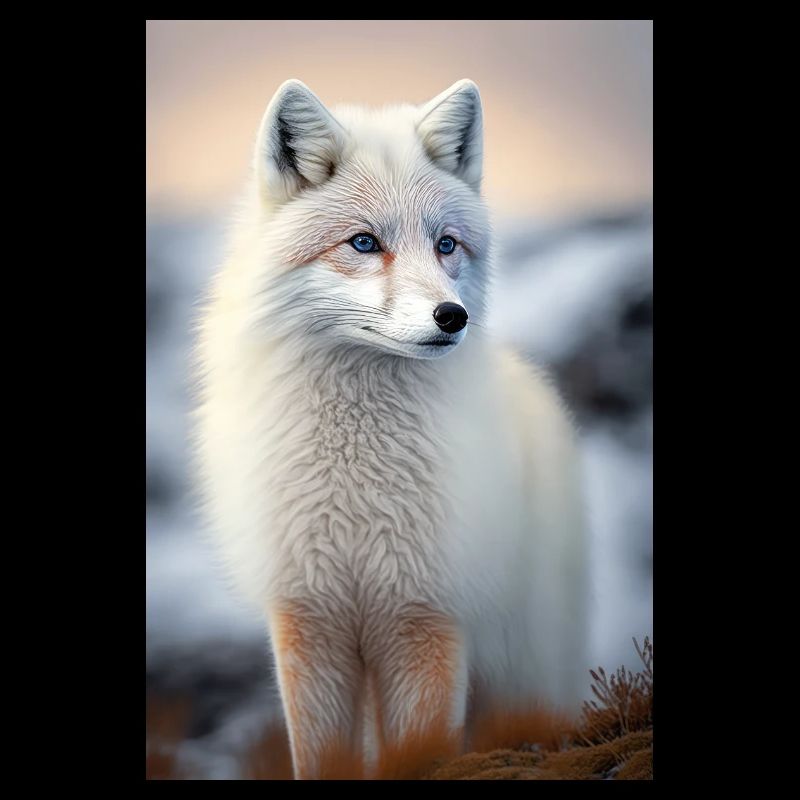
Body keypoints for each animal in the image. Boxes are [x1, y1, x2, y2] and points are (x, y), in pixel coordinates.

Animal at [192, 78, 588, 779]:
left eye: (446, 245)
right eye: (363, 243)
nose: (452, 316)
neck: (356, 480)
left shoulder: (424, 616)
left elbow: (422, 752)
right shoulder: (310, 620)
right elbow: (322, 759)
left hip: (523, 664)